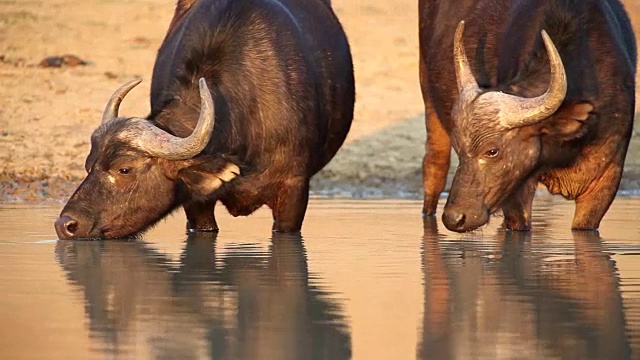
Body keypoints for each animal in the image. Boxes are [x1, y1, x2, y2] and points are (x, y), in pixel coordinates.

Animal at [420, 0, 636, 231]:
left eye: (492, 151)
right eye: (459, 149)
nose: (454, 218)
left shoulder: (605, 180)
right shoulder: (516, 188)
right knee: (434, 167)